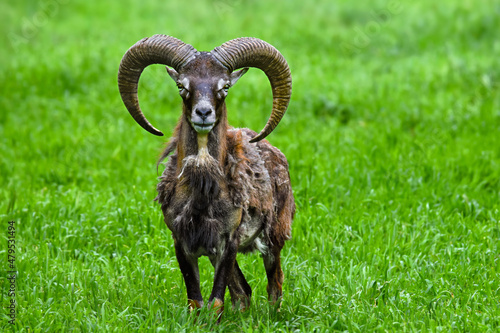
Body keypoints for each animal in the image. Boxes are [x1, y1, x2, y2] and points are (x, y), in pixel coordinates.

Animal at [116, 35, 296, 316]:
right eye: (182, 85)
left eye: (224, 87)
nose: (203, 113)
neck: (202, 191)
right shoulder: (183, 243)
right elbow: (197, 301)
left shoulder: (228, 243)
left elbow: (216, 301)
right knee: (243, 292)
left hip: (274, 237)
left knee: (274, 284)